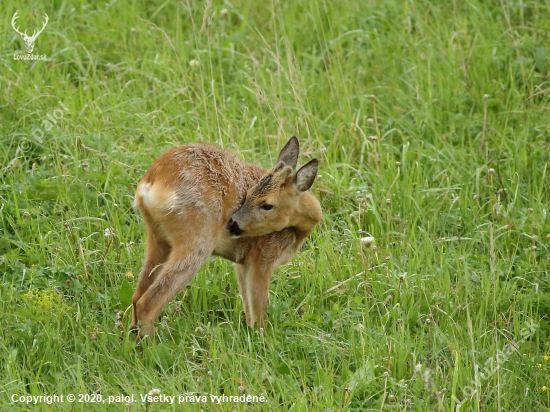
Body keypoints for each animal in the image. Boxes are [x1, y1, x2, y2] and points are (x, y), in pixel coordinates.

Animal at [132, 136, 324, 338]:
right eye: (249, 194)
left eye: (267, 205)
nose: (232, 223)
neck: (298, 232)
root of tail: (151, 182)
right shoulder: (262, 259)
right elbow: (260, 312)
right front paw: (263, 341)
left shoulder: (242, 263)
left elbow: (248, 309)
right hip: (197, 242)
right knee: (148, 302)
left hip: (158, 238)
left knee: (137, 296)